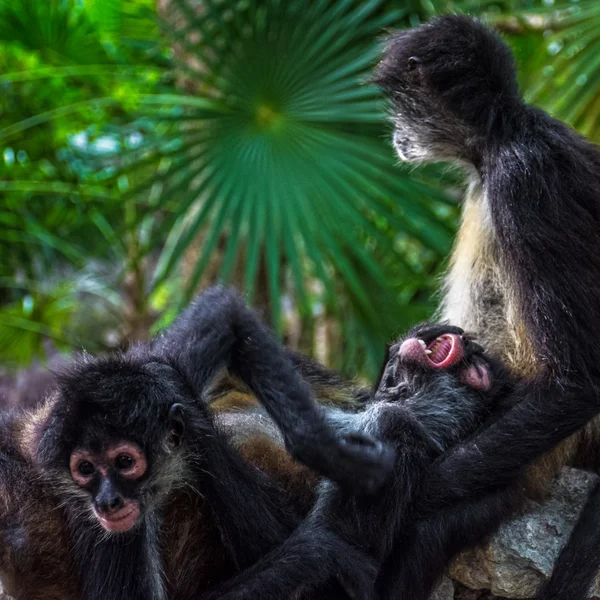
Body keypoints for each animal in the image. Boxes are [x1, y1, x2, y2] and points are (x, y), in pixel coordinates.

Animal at [0, 288, 394, 600]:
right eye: (85, 469)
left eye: (125, 462)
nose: (108, 501)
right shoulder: (92, 516)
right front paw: (320, 550)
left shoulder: (155, 371)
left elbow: (222, 311)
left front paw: (336, 455)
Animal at [376, 14, 600, 600]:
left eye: (400, 105)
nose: (394, 135)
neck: (506, 138)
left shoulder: (524, 178)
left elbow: (579, 383)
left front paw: (408, 496)